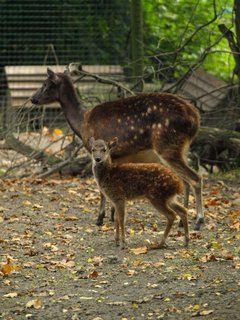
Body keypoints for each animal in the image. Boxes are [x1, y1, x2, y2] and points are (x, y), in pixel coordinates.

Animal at [31, 68, 204, 230]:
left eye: (45, 84)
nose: (33, 98)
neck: (82, 122)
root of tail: (195, 118)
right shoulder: (117, 156)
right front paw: (113, 215)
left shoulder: (100, 152)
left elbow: (101, 188)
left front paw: (100, 218)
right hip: (181, 148)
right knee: (185, 181)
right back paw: (183, 220)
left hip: (167, 145)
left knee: (195, 178)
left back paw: (199, 221)